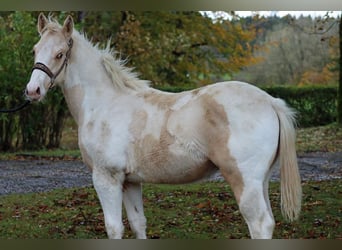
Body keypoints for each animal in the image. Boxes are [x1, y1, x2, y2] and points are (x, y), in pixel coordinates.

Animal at [25, 13, 300, 238]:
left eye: (60, 53)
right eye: (36, 50)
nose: (33, 91)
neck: (104, 103)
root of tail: (270, 101)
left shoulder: (106, 177)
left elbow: (114, 229)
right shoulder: (130, 181)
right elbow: (138, 224)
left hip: (245, 180)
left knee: (260, 224)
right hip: (260, 181)